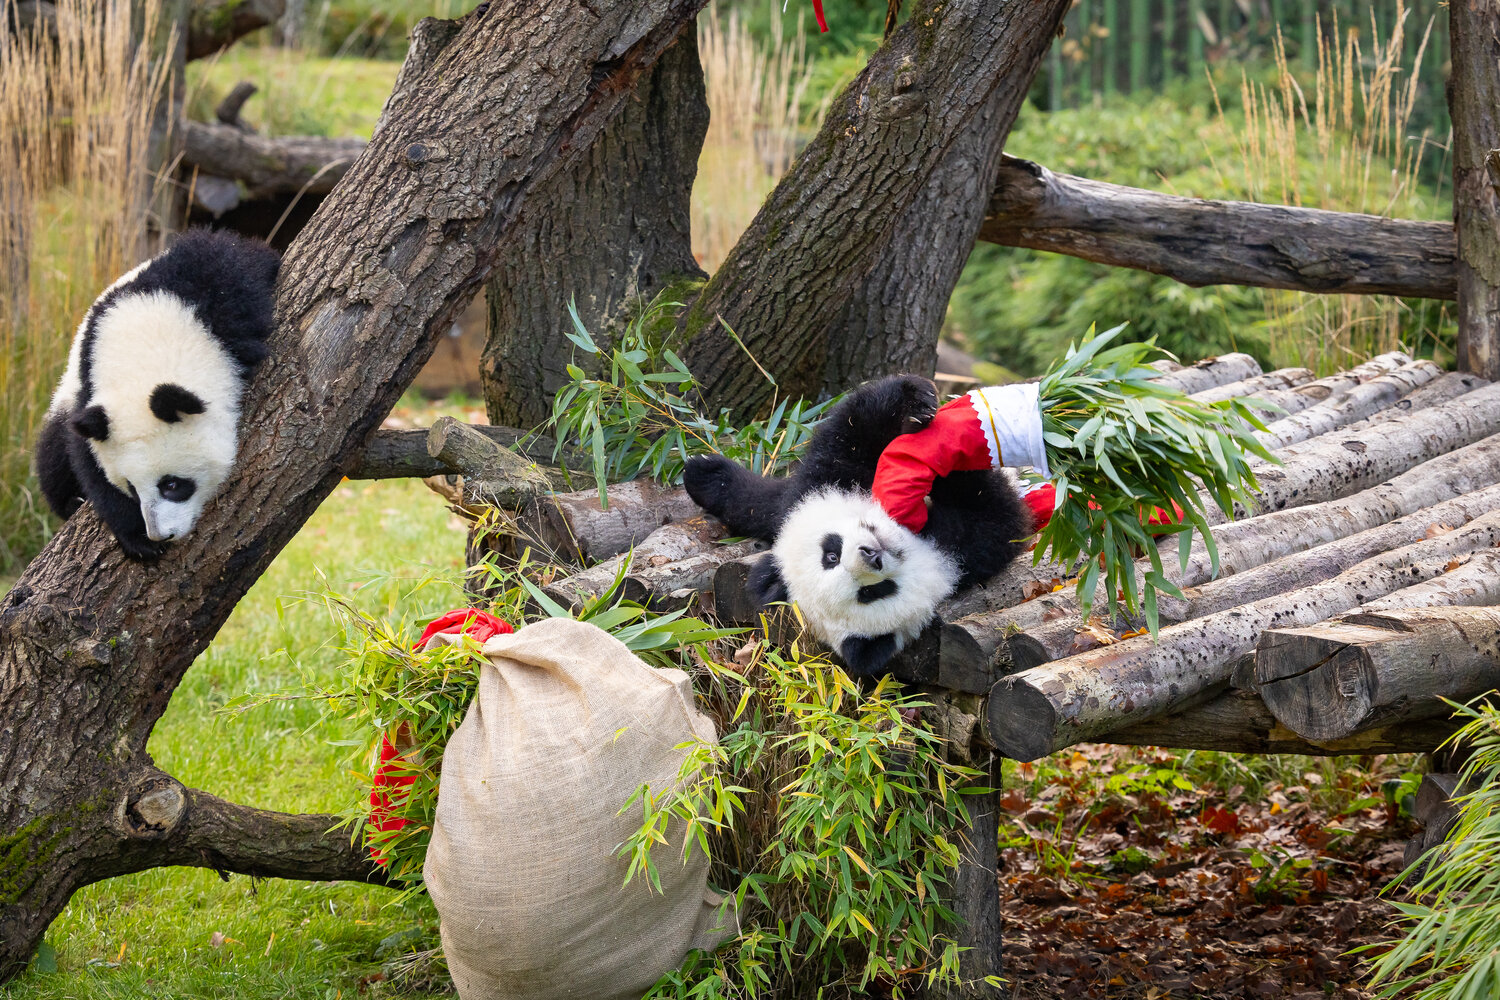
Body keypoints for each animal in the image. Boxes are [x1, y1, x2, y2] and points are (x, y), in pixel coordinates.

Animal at [34, 229, 281, 561]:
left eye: (172, 485)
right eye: (131, 488)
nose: (161, 534)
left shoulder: (223, 287)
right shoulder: (88, 388)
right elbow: (86, 458)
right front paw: (137, 538)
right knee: (53, 454)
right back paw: (72, 501)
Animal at [684, 374, 1032, 676]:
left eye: (830, 554)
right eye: (871, 592)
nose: (871, 553)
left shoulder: (815, 486)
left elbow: (848, 435)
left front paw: (916, 407)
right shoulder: (969, 552)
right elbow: (993, 514)